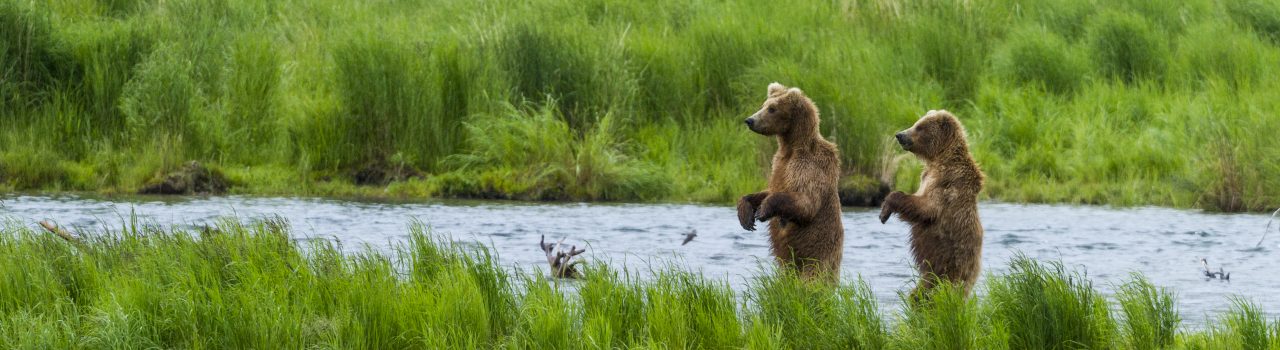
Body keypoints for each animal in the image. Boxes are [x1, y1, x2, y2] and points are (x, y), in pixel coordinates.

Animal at [737, 81, 844, 280]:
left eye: (772, 109)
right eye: (763, 105)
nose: (750, 120)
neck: (791, 147)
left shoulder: (809, 167)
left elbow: (805, 202)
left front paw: (763, 210)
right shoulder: (778, 164)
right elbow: (768, 190)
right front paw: (746, 213)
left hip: (818, 255)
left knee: (812, 278)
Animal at [875, 108, 983, 297]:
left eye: (920, 127)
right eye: (916, 122)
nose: (900, 135)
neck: (939, 158)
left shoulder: (946, 184)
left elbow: (926, 208)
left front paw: (884, 211)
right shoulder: (927, 177)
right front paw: (883, 212)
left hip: (951, 265)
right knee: (922, 289)